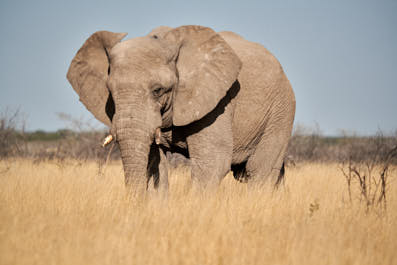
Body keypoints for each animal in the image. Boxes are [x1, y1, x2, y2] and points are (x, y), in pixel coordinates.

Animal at [65, 25, 294, 194]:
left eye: (157, 90)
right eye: (110, 92)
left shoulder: (217, 101)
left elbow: (211, 164)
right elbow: (155, 164)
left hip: (281, 110)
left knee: (260, 170)